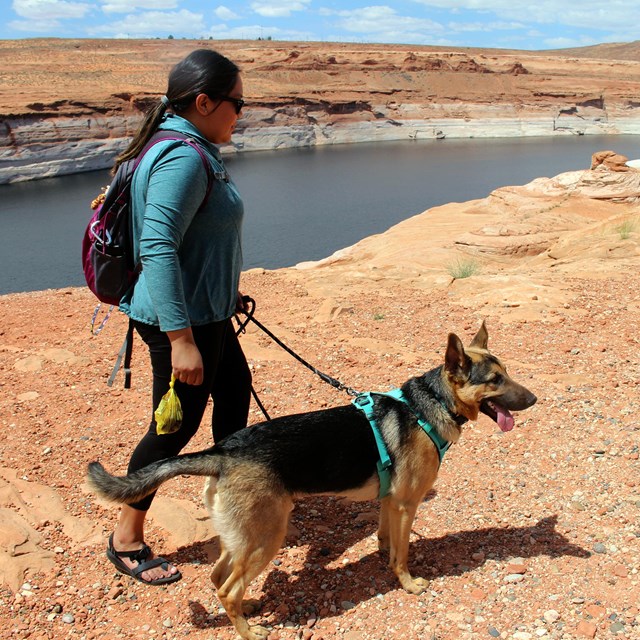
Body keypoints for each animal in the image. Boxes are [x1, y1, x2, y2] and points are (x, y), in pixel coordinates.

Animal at [85, 324, 536, 640]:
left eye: (508, 373)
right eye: (494, 380)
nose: (534, 400)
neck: (431, 402)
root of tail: (224, 451)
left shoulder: (390, 502)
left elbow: (386, 540)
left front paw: (384, 558)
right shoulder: (407, 504)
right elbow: (403, 554)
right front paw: (408, 584)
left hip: (243, 536)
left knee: (218, 578)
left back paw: (247, 611)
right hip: (267, 537)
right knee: (226, 588)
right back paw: (250, 631)